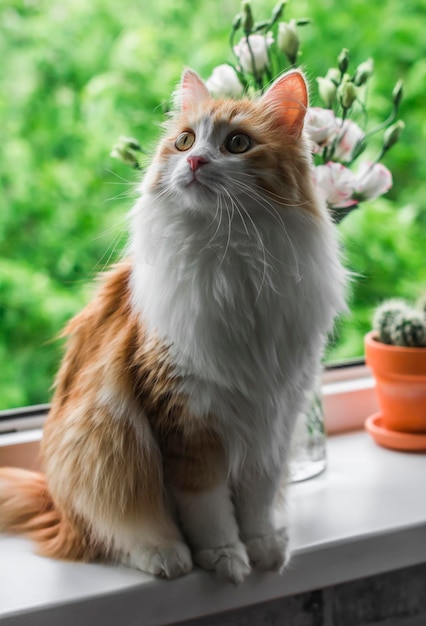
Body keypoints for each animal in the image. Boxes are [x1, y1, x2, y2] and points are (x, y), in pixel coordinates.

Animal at [0, 67, 346, 580]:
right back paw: (167, 556)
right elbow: (207, 507)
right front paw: (225, 557)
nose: (197, 161)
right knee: (115, 534)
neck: (232, 257)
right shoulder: (187, 418)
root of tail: (56, 507)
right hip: (95, 446)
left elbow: (258, 499)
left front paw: (263, 547)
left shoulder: (274, 416)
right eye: (184, 141)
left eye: (237, 143)